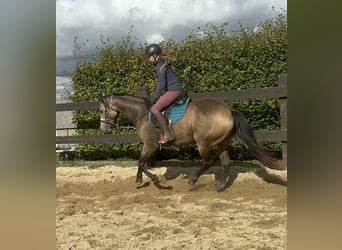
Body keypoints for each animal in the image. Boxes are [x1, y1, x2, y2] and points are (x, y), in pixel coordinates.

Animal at [97, 93, 284, 191]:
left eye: (101, 110)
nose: (103, 130)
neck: (142, 114)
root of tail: (229, 110)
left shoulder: (151, 144)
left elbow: (141, 163)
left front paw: (156, 179)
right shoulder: (148, 145)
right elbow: (140, 162)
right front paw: (138, 180)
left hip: (204, 143)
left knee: (209, 162)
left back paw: (193, 180)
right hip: (222, 143)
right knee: (225, 163)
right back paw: (221, 186)